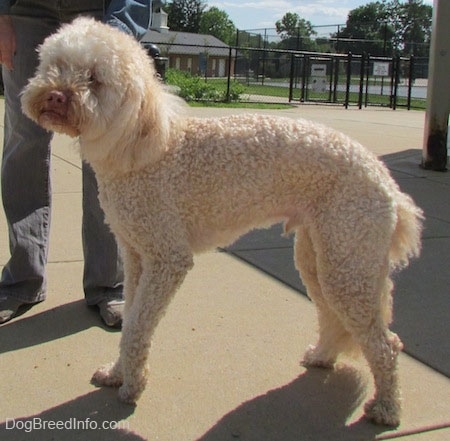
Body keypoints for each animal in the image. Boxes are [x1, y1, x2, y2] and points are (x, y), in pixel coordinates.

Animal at [21, 18, 422, 424]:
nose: (55, 96)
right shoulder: (136, 257)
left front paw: (131, 387)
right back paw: (323, 356)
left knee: (386, 344)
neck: (141, 147)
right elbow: (131, 315)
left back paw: (387, 408)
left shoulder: (167, 258)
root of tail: (386, 180)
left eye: (95, 79)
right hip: (321, 257)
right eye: (55, 65)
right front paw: (118, 373)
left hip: (348, 262)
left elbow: (136, 325)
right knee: (332, 314)